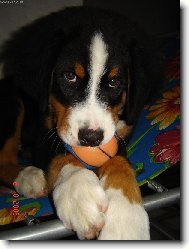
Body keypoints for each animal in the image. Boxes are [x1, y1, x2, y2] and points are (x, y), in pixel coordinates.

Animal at [0, 6, 163, 239]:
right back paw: (28, 177)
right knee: (3, 158)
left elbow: (119, 162)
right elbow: (61, 154)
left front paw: (126, 220)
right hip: (12, 103)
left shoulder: (120, 135)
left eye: (114, 81)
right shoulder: (44, 132)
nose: (91, 138)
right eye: (69, 76)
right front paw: (78, 191)